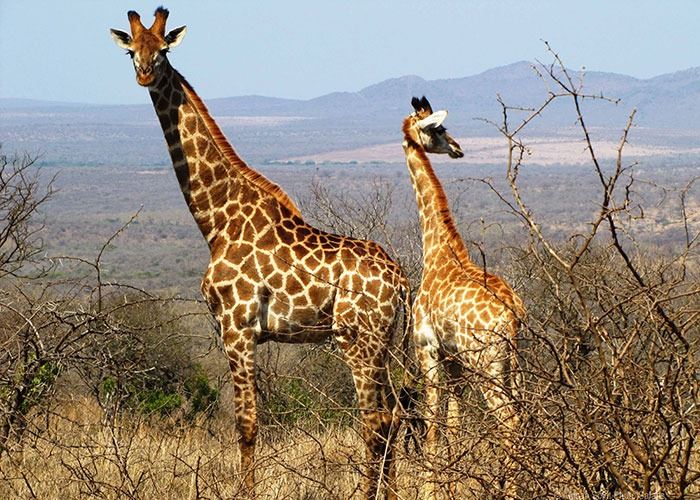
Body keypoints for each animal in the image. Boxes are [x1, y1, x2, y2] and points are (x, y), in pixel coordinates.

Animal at [110, 8, 410, 499]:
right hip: (383, 342)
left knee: (377, 420)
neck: (216, 219)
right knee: (396, 415)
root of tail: (402, 280)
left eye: (165, 49)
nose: (145, 74)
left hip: (357, 340)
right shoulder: (242, 330)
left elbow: (247, 424)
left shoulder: (237, 326)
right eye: (131, 50)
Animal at [401, 96, 524, 497]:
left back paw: (511, 489)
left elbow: (433, 426)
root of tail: (513, 315)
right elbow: (454, 425)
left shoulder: (427, 349)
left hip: (487, 364)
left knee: (509, 420)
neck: (438, 248)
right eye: (440, 129)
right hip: (513, 365)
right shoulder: (453, 360)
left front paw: (429, 489)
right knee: (525, 415)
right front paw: (451, 485)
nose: (458, 147)